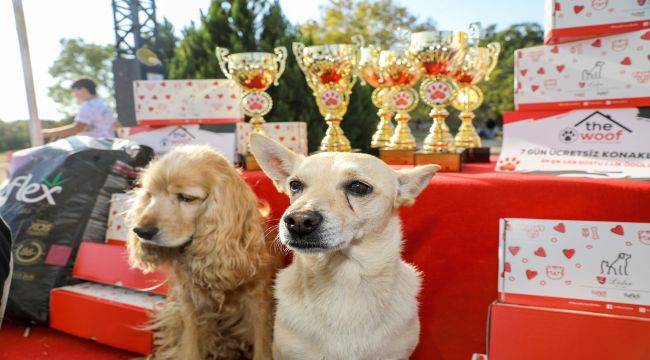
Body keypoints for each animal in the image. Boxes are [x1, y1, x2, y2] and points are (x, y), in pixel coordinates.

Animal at [128, 145, 278, 358]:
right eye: (150, 195)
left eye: (186, 198)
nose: (141, 231)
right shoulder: (190, 308)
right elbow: (190, 349)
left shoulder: (259, 308)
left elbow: (262, 350)